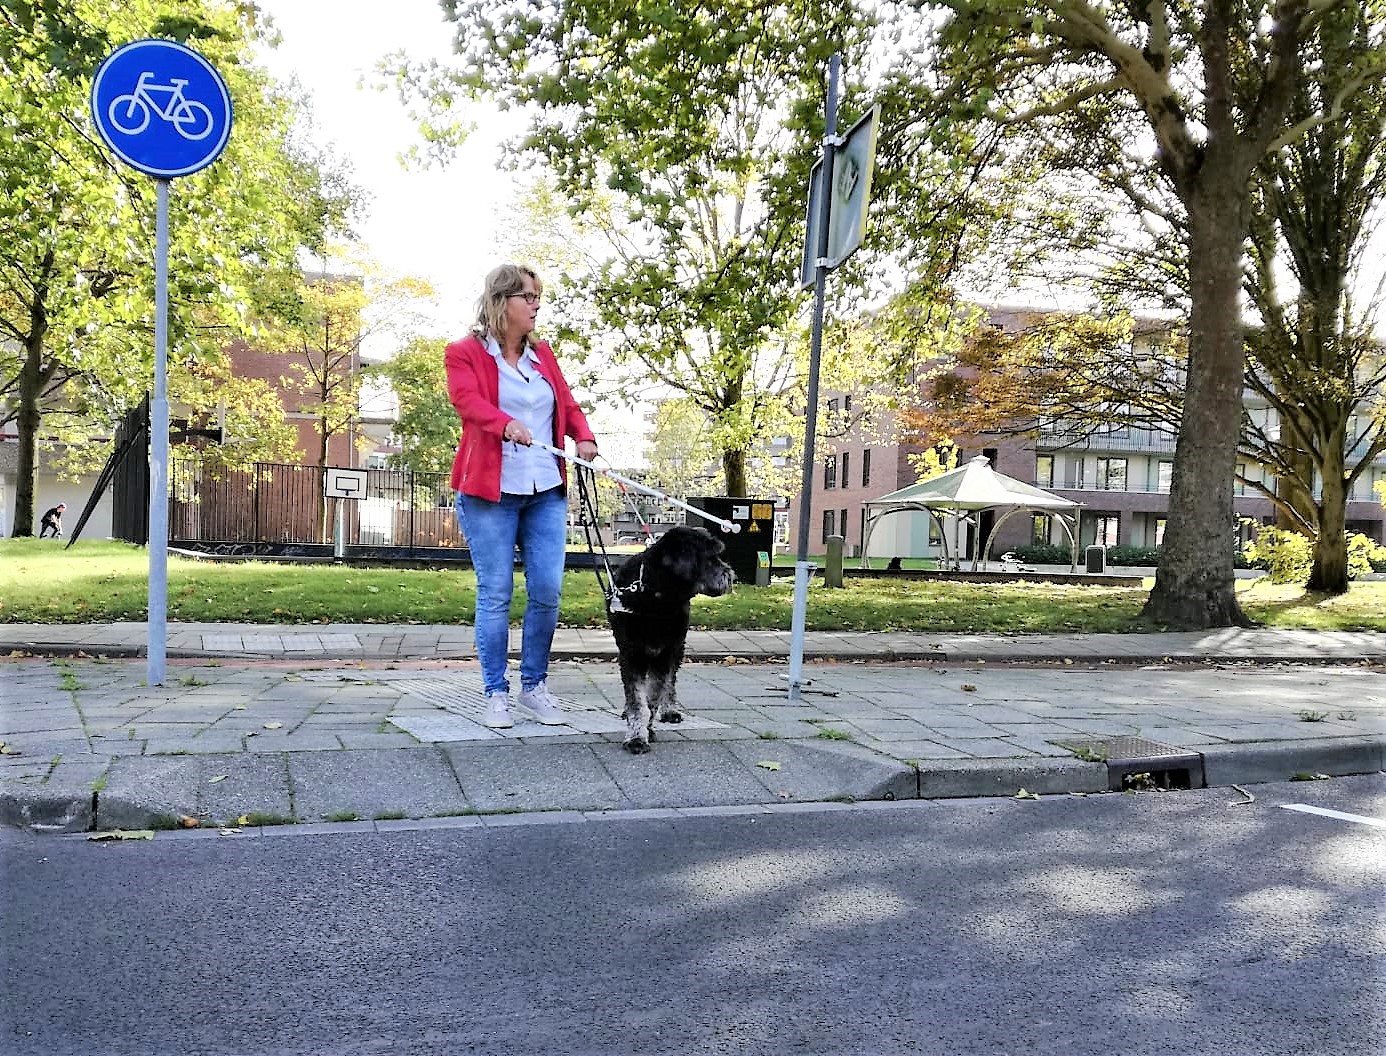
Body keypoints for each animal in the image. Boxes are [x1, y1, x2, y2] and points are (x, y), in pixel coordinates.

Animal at [607, 523, 737, 753]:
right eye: (710, 558)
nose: (731, 577)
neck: (657, 598)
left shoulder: (665, 653)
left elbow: (653, 697)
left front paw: (646, 730)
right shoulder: (631, 655)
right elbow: (637, 701)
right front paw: (636, 737)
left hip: (677, 649)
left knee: (671, 682)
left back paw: (669, 710)